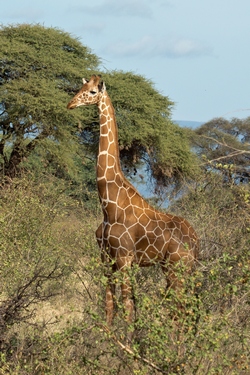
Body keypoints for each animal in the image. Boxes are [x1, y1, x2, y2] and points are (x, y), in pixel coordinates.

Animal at [67, 75, 199, 326]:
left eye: (92, 92)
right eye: (80, 87)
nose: (70, 104)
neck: (109, 205)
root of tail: (197, 242)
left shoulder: (125, 258)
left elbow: (128, 308)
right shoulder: (106, 258)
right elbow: (110, 307)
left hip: (178, 267)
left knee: (180, 311)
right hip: (175, 268)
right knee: (185, 311)